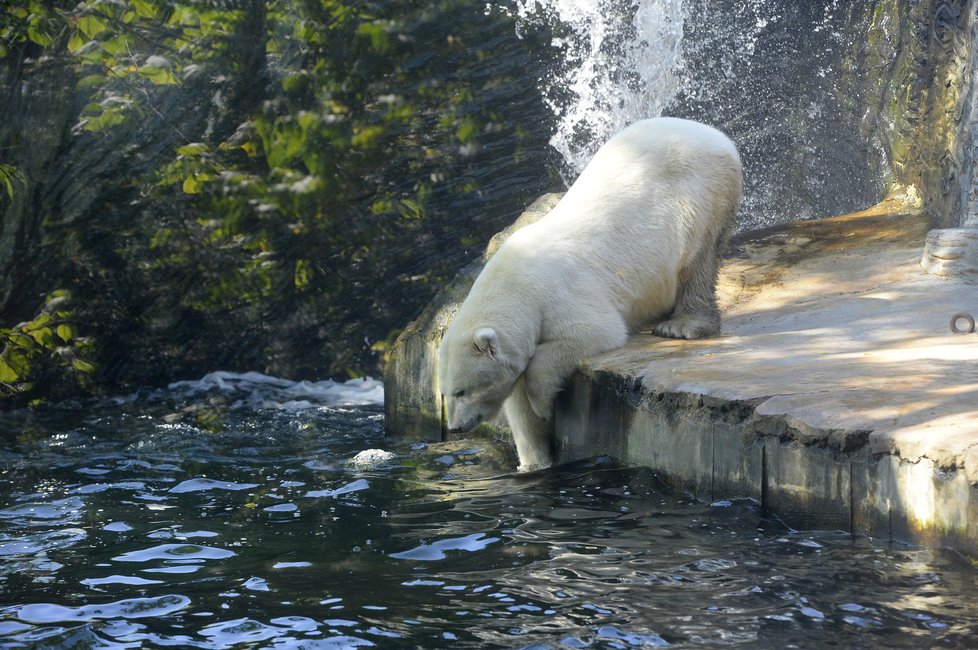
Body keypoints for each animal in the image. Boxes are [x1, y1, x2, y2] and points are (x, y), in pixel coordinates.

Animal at [434, 116, 740, 468]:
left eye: (462, 390)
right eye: (445, 392)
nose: (456, 427)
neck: (514, 284)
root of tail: (713, 135)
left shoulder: (559, 294)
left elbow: (587, 335)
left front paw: (543, 405)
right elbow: (519, 407)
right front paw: (533, 462)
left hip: (700, 194)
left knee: (698, 259)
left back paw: (682, 325)